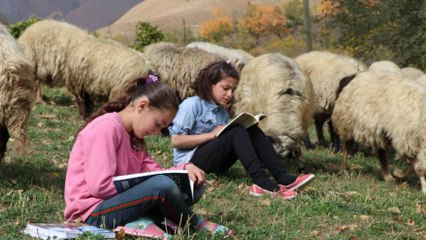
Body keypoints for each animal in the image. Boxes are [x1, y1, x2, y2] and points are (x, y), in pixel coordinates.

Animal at [18, 19, 155, 118]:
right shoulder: (79, 81)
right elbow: (82, 100)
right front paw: (86, 115)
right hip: (36, 61)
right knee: (36, 81)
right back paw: (40, 100)